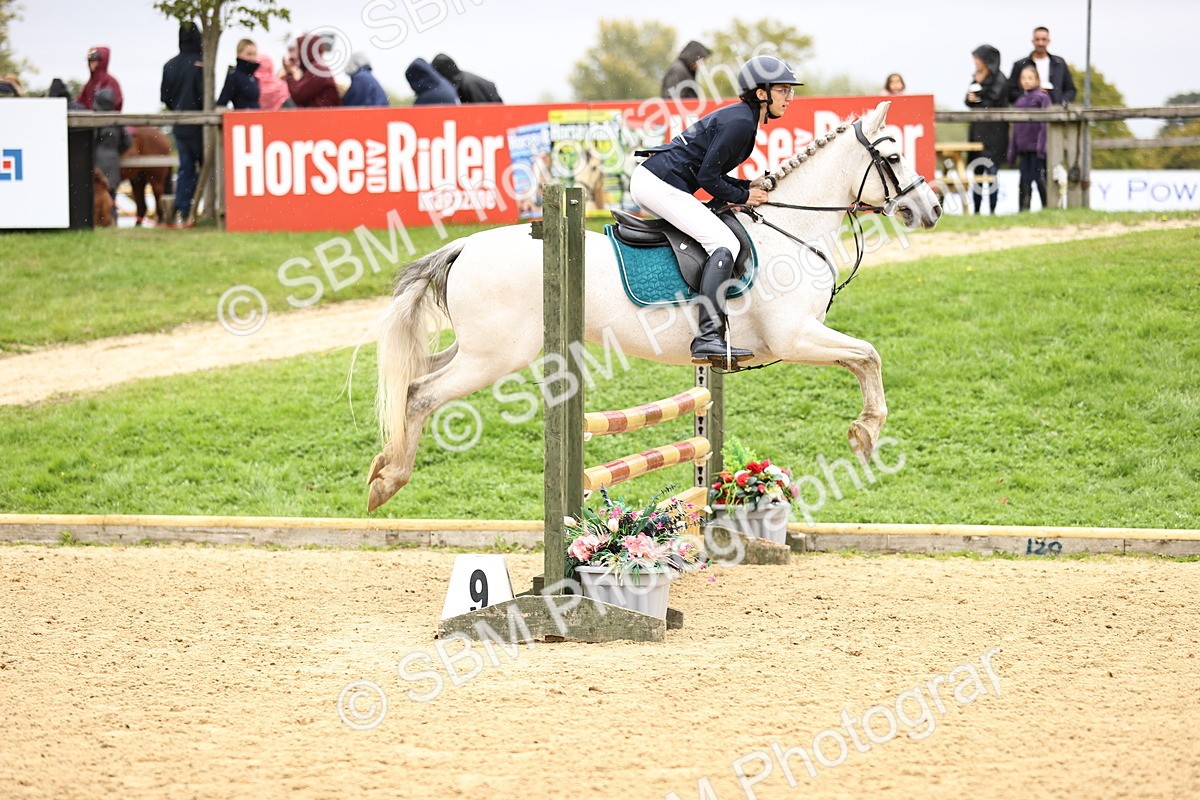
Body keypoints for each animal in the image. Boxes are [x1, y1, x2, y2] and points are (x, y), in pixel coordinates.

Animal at [366, 100, 942, 512]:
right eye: (893, 158)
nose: (932, 209)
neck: (791, 228)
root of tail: (465, 245)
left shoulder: (801, 338)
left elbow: (862, 359)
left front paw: (864, 432)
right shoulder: (794, 337)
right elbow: (869, 355)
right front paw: (866, 434)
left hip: (477, 349)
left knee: (417, 374)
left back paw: (382, 469)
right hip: (496, 356)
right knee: (419, 393)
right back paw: (389, 481)